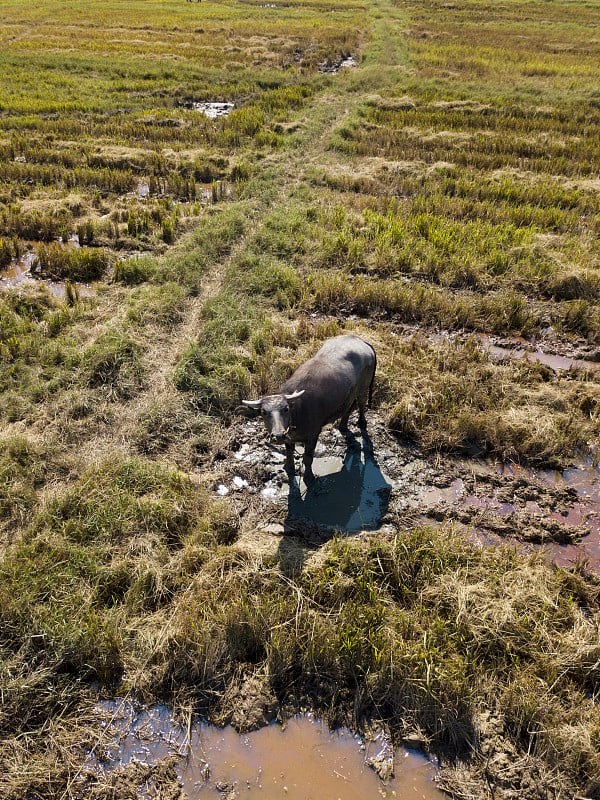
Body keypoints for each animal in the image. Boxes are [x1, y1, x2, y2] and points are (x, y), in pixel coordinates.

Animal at [243, 332, 376, 482]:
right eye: (264, 412)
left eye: (286, 409)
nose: (278, 435)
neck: (297, 412)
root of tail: (361, 341)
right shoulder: (289, 438)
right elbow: (289, 453)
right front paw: (289, 467)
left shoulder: (313, 435)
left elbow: (307, 458)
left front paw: (309, 477)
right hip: (350, 394)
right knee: (348, 407)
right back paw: (342, 426)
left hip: (363, 388)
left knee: (361, 404)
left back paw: (362, 422)